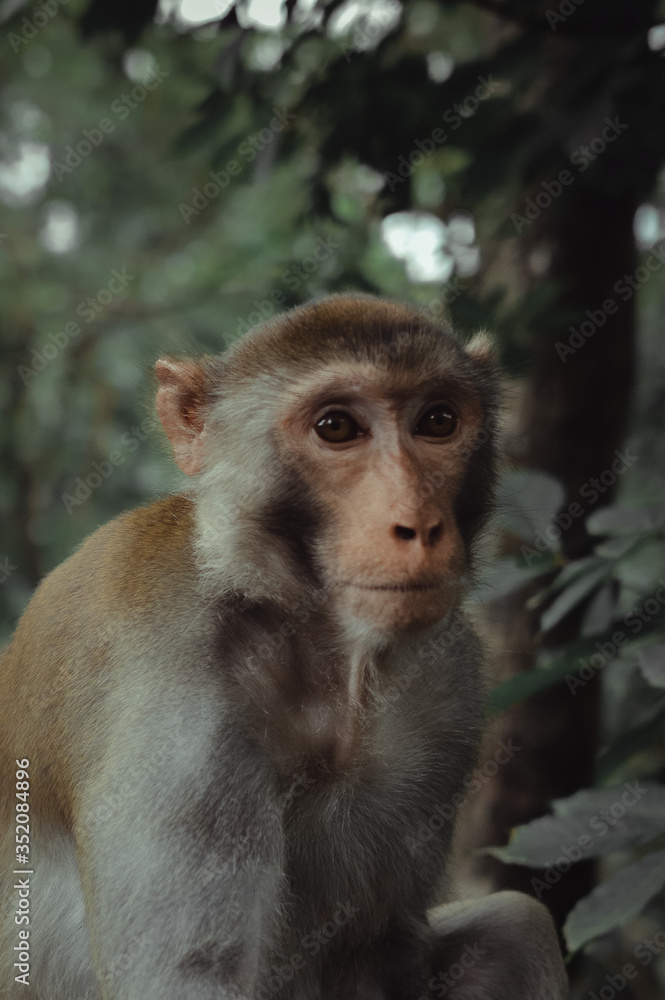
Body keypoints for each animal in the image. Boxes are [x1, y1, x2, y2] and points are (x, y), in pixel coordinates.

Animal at [0, 296, 564, 1000]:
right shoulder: (172, 708)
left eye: (438, 421)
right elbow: (183, 979)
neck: (301, 629)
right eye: (336, 428)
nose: (420, 525)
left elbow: (385, 950)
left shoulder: (446, 678)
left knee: (519, 925)